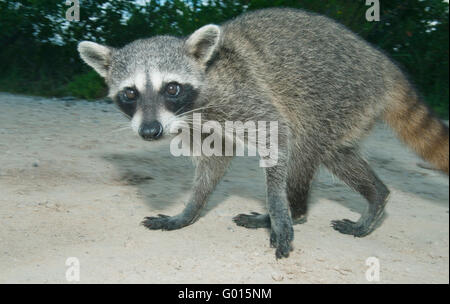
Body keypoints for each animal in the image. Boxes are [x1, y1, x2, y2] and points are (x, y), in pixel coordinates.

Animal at [79, 7, 448, 258]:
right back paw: (376, 195)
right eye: (129, 93)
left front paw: (279, 211)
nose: (150, 131)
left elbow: (278, 133)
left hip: (337, 94)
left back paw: (292, 211)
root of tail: (383, 65)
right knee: (337, 154)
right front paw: (189, 211)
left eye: (171, 88)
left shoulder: (238, 94)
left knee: (303, 146)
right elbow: (214, 161)